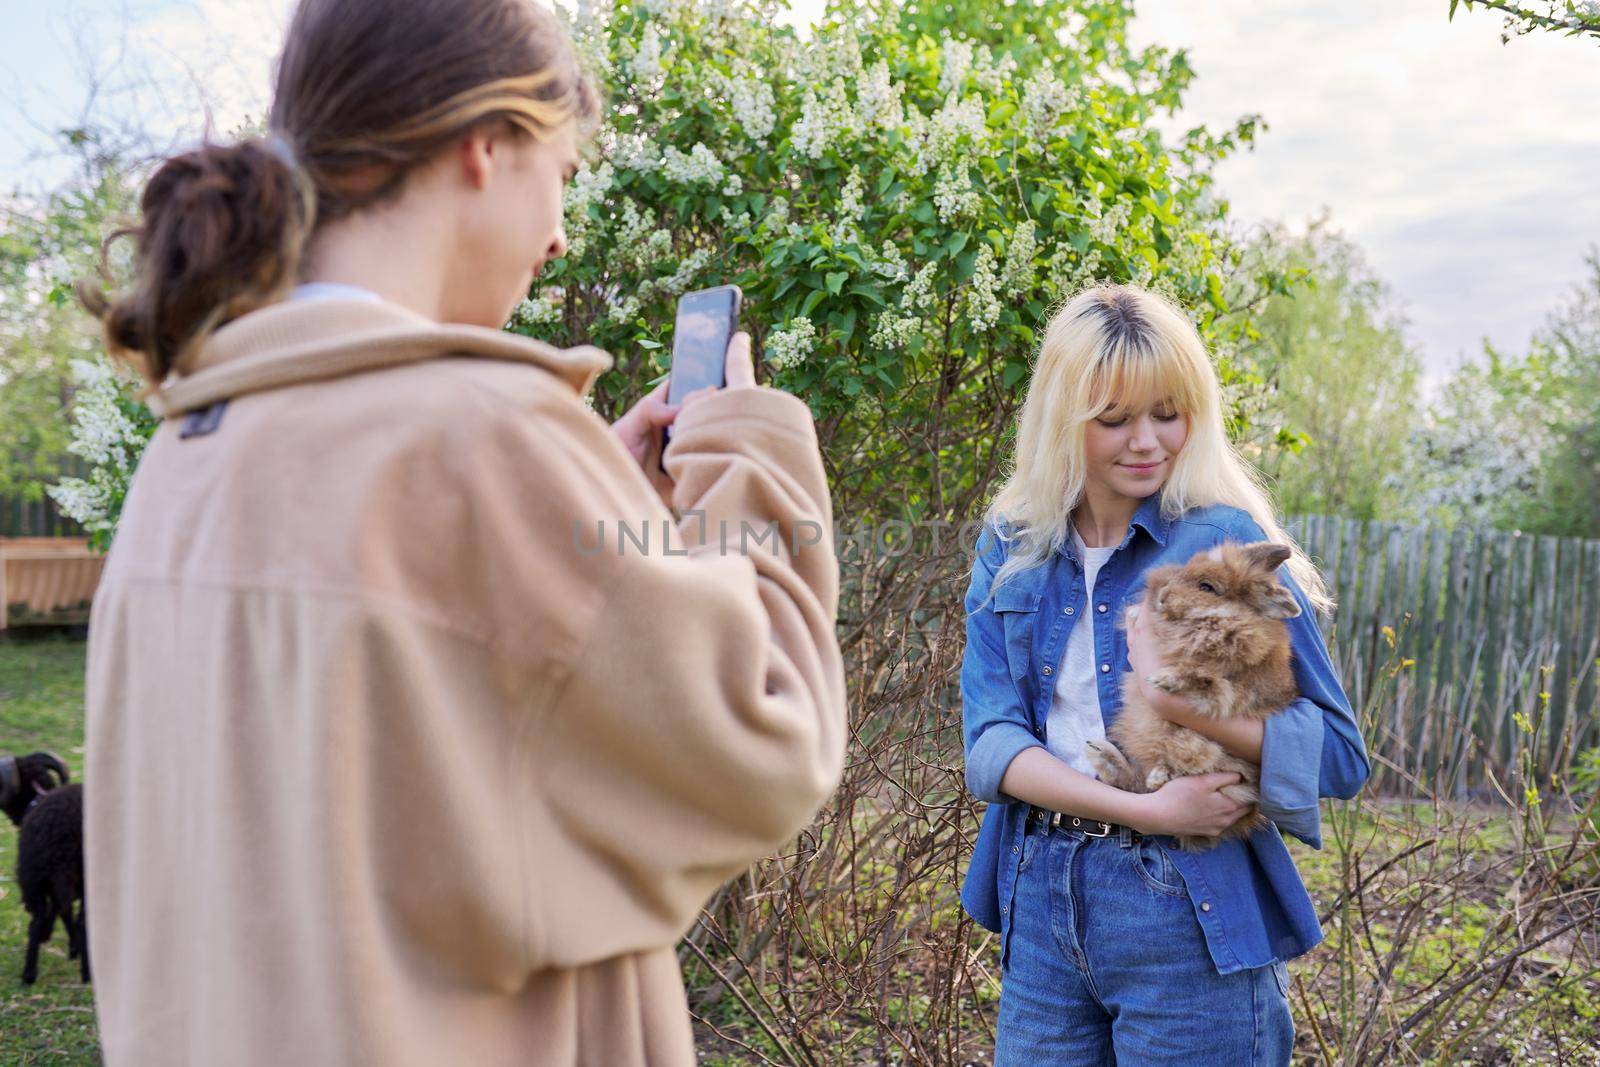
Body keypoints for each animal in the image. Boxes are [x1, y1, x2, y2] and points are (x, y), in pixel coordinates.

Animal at [0, 751, 89, 985]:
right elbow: (64, 912)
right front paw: (74, 948)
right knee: (80, 920)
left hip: (33, 878)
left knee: (38, 920)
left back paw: (30, 975)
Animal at [1081, 543, 1305, 851]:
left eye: (1207, 587)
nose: (1163, 596)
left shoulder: (1234, 684)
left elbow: (1208, 681)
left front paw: (1163, 679)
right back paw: (1105, 754)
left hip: (1226, 766)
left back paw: (1145, 771)